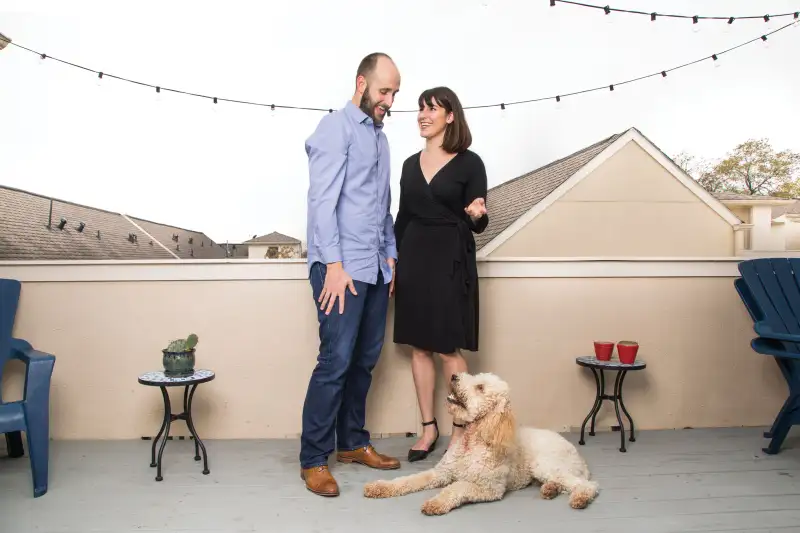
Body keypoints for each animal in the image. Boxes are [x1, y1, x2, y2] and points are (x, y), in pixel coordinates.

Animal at [366, 370, 596, 516]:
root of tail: (578, 456)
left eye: (480, 387)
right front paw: (380, 487)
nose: (454, 375)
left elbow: (457, 487)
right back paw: (550, 489)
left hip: (546, 465)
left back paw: (581, 498)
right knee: (564, 483)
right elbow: (409, 480)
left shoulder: (489, 489)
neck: (473, 441)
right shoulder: (440, 473)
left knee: (587, 485)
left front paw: (436, 502)